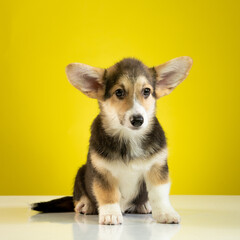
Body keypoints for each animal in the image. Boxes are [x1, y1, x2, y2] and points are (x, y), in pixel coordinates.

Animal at [31, 56, 193, 225]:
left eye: (147, 91)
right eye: (119, 92)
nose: (138, 120)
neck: (129, 137)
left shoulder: (157, 167)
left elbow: (159, 193)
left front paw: (166, 213)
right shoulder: (103, 172)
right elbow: (108, 194)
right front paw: (110, 214)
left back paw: (143, 205)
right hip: (81, 172)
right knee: (78, 199)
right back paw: (87, 205)